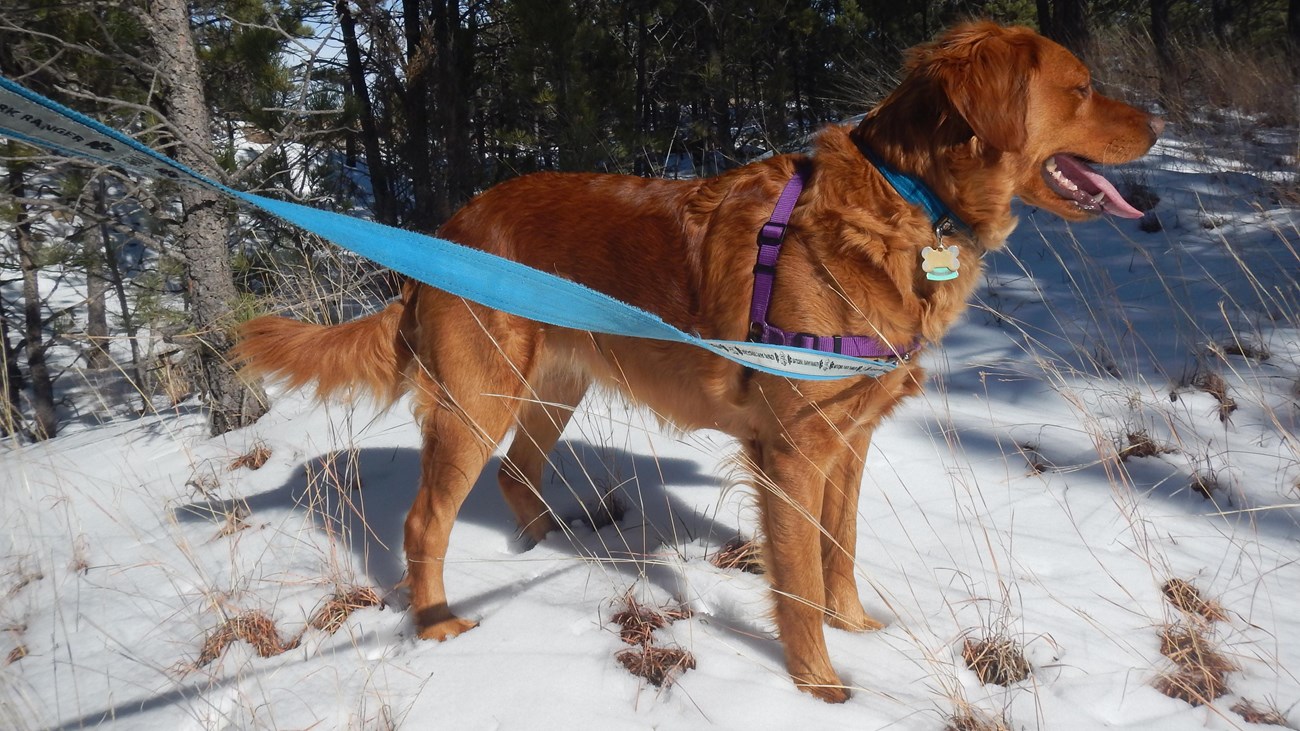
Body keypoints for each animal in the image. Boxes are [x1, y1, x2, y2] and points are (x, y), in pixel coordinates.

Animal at [239, 22, 1164, 702]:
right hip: (479, 397)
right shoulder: (791, 451)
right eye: (1082, 87)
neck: (908, 203)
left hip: (555, 387)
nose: (1161, 124)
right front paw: (821, 685)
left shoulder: (850, 440)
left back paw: (545, 549)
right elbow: (798, 574)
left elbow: (840, 548)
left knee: (515, 472)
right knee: (425, 519)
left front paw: (859, 629)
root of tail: (444, 231)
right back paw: (438, 623)